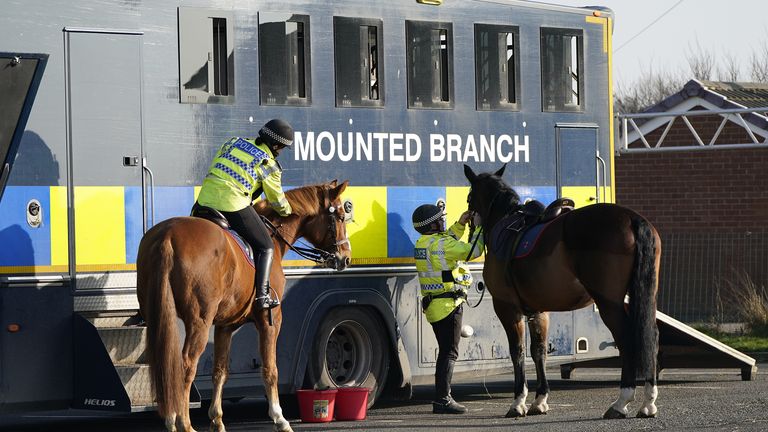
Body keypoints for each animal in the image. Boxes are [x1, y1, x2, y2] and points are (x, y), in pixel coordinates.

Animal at [137, 180, 352, 432]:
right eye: (340, 216)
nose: (346, 258)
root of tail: (168, 237)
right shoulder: (270, 320)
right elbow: (270, 369)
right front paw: (279, 418)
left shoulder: (224, 326)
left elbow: (220, 371)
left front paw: (217, 419)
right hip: (199, 322)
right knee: (185, 365)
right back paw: (183, 422)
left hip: (160, 317)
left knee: (166, 364)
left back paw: (172, 419)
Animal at [462, 165, 660, 418]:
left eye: (469, 197)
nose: (468, 220)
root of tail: (632, 218)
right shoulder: (539, 311)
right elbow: (539, 351)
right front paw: (539, 400)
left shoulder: (506, 307)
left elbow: (517, 351)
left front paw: (518, 402)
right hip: (645, 295)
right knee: (651, 336)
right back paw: (648, 402)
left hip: (609, 303)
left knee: (627, 339)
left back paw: (622, 401)